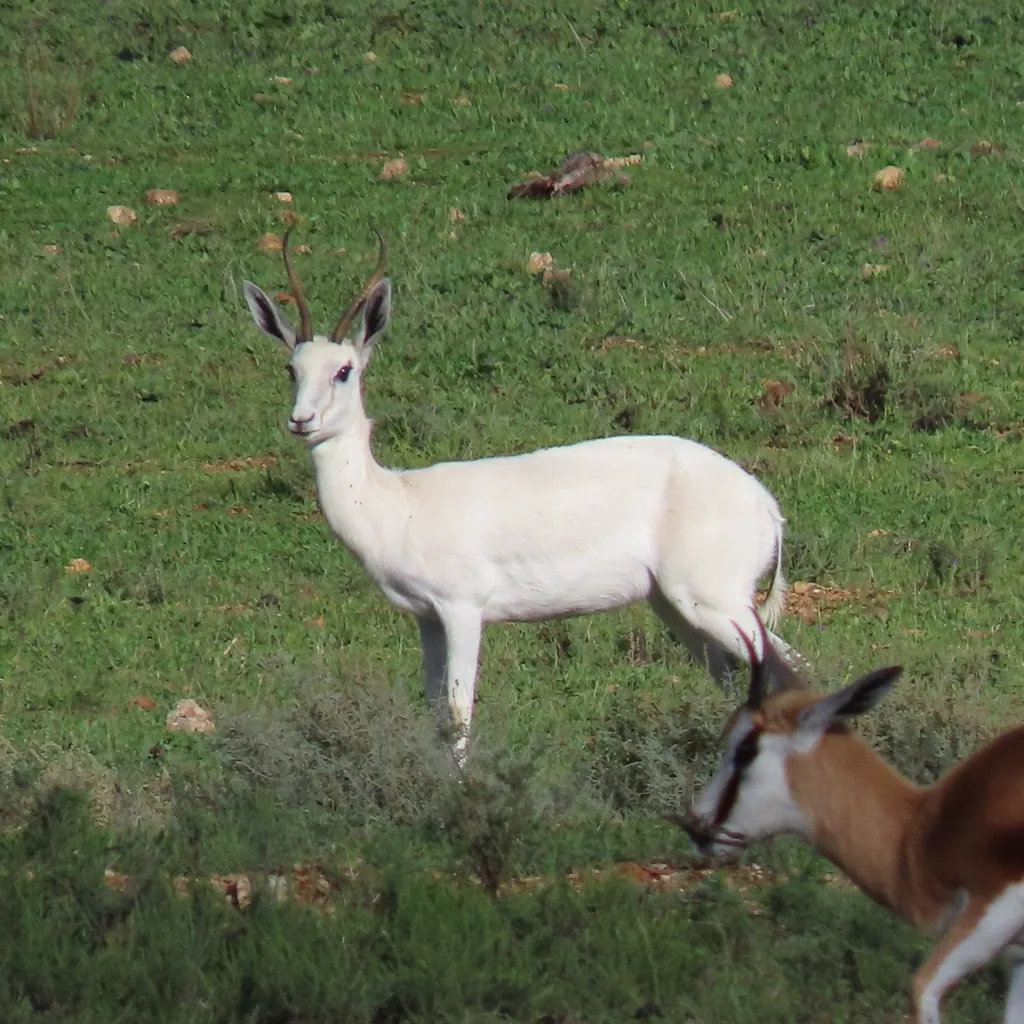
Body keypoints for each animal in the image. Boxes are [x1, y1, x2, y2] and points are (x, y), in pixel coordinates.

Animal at [242, 229, 794, 755]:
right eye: (292, 369)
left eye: (344, 370)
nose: (301, 420)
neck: (399, 504)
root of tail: (767, 505)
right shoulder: (426, 619)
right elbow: (435, 716)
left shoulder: (462, 609)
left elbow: (459, 715)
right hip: (676, 608)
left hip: (714, 603)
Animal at [674, 613, 1024, 1024]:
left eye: (745, 749)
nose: (696, 826)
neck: (918, 835)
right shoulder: (1018, 958)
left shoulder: (992, 913)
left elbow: (921, 990)